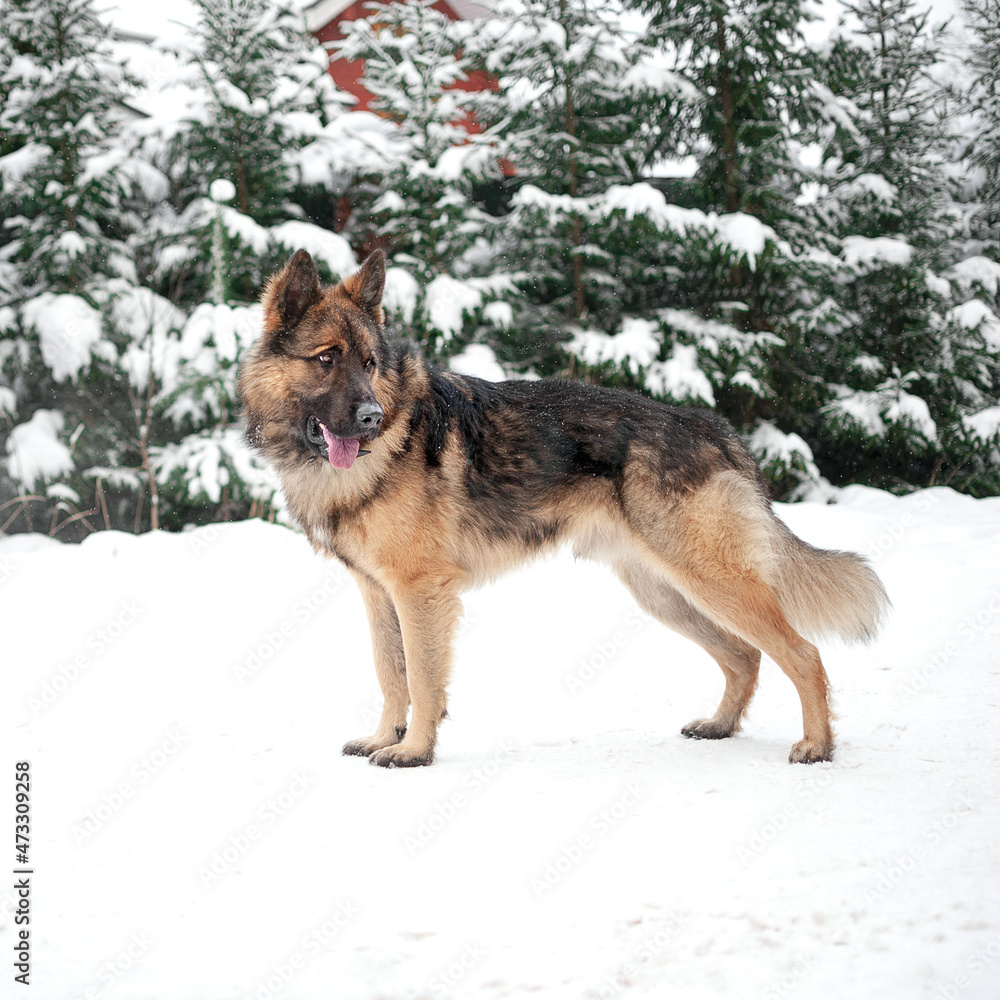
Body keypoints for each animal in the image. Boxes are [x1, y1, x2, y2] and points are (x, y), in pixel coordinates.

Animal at [238, 248, 888, 764]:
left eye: (370, 364)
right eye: (327, 358)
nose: (372, 418)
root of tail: (716, 429)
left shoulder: (420, 592)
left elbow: (422, 679)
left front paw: (415, 751)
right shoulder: (379, 594)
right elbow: (390, 673)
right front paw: (384, 738)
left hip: (711, 582)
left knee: (802, 654)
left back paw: (817, 746)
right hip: (666, 594)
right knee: (745, 655)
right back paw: (722, 726)